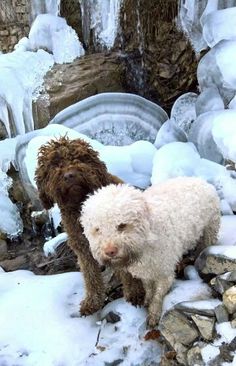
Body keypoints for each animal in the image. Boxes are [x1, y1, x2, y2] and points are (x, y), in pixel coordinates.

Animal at [35, 136, 144, 316]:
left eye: (79, 158)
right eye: (55, 164)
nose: (69, 175)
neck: (82, 204)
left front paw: (135, 293)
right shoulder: (82, 247)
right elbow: (90, 275)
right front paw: (92, 302)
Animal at [81, 177, 221, 326]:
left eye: (122, 225)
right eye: (97, 229)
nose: (110, 251)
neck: (146, 239)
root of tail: (199, 179)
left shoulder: (164, 272)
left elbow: (158, 295)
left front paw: (154, 313)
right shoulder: (145, 271)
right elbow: (148, 287)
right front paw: (147, 300)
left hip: (210, 228)